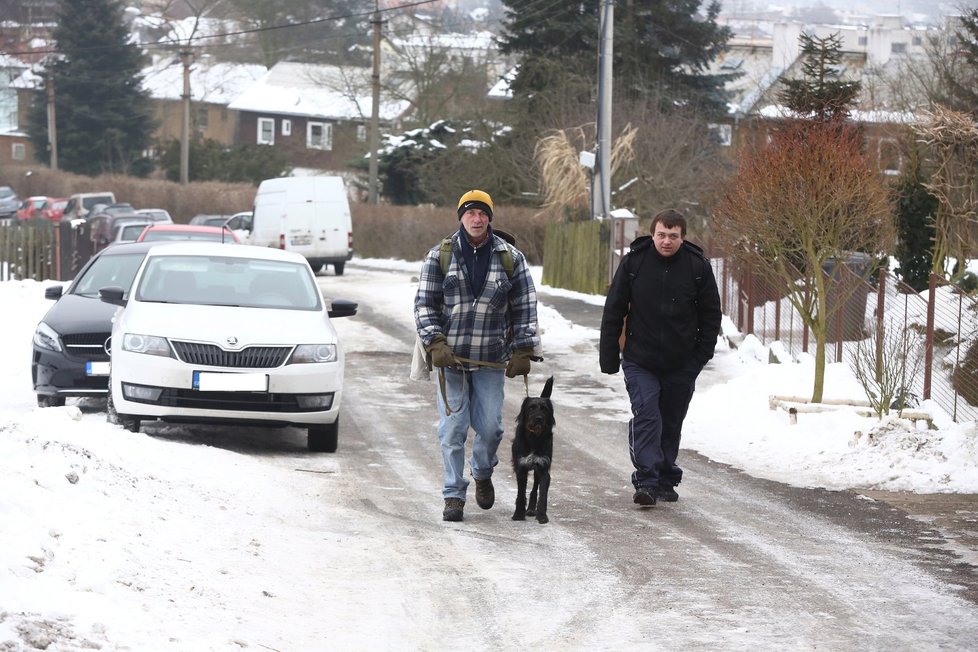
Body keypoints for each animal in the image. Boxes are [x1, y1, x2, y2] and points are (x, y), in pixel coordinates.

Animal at [510, 376, 548, 524]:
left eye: (544, 409)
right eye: (531, 408)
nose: (539, 418)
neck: (534, 438)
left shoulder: (542, 466)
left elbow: (542, 493)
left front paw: (542, 515)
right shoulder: (521, 467)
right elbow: (521, 492)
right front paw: (518, 514)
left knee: (535, 488)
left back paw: (532, 509)